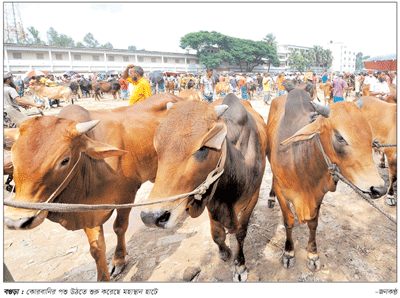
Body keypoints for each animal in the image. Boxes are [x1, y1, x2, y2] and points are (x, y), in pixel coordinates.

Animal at [3, 93, 184, 282]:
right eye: (13, 158)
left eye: (65, 160)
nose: (16, 221)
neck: (90, 165)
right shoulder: (87, 211)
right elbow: (96, 248)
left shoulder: (127, 195)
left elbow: (119, 227)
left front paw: (119, 259)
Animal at [139, 95, 268, 282]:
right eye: (157, 148)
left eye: (203, 147)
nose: (152, 217)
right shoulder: (210, 202)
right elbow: (217, 234)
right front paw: (224, 252)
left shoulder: (252, 199)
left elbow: (241, 232)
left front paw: (240, 265)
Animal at [268, 88, 386, 272]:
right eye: (340, 137)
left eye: (370, 135)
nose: (379, 189)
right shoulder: (283, 193)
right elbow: (289, 221)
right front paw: (289, 252)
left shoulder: (318, 194)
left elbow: (313, 223)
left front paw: (312, 255)